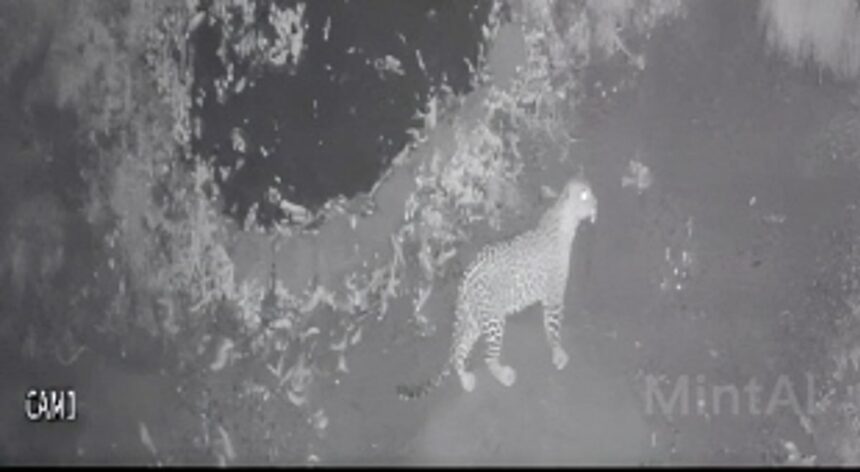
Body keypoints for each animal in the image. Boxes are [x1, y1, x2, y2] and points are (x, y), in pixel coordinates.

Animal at [397, 176, 597, 399]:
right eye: (586, 195)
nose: (597, 205)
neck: (563, 217)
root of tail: (465, 281)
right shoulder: (553, 296)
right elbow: (554, 328)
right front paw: (558, 354)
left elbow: (548, 327)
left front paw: (555, 350)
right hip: (493, 319)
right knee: (488, 358)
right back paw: (504, 376)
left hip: (474, 320)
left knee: (459, 352)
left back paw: (467, 381)